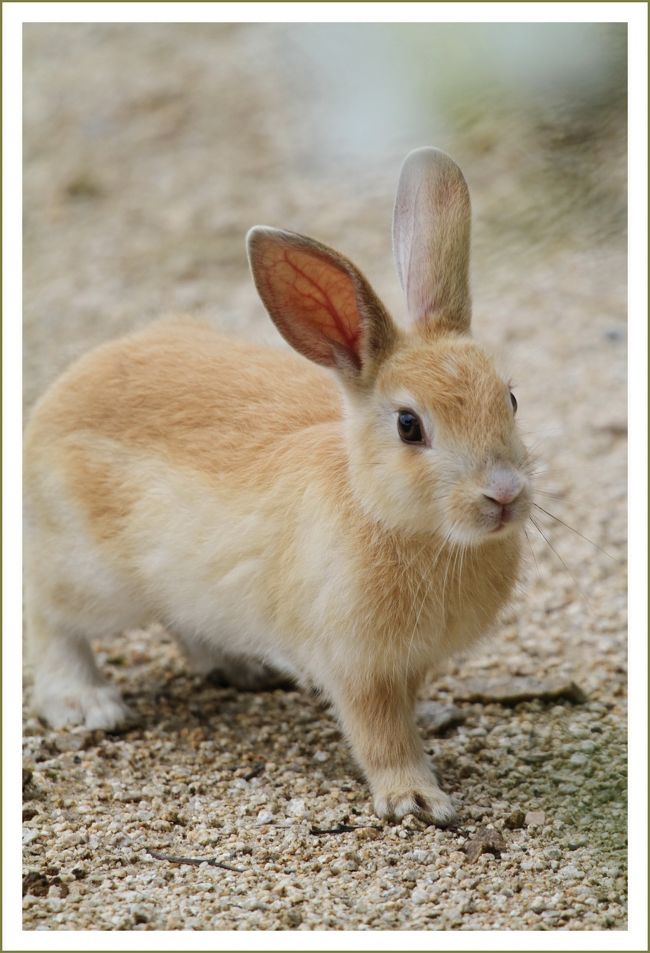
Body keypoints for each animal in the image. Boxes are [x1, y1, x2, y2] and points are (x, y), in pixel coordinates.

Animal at [24, 145, 532, 820]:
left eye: (511, 399)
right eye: (409, 425)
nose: (504, 495)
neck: (387, 514)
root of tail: (63, 392)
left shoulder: (408, 664)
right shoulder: (359, 668)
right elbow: (381, 737)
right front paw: (417, 800)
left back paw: (239, 668)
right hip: (91, 577)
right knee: (48, 616)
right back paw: (86, 703)